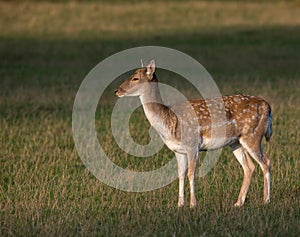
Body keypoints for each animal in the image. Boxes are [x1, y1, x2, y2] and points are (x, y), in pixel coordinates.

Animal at [114, 59, 272, 207]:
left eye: (135, 78)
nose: (117, 90)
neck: (170, 122)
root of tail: (267, 106)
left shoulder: (192, 144)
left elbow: (191, 174)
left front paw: (192, 204)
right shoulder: (178, 150)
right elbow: (181, 174)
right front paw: (180, 204)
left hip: (252, 136)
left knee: (266, 162)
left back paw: (266, 200)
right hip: (236, 142)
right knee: (249, 167)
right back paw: (238, 202)